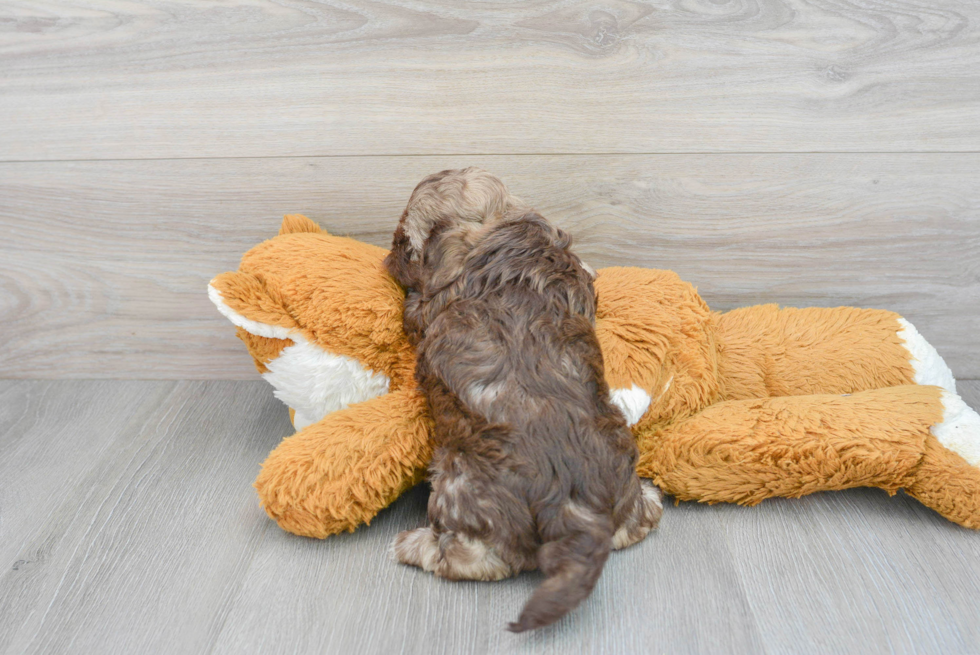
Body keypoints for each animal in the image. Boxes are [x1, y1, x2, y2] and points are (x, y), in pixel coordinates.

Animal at [386, 172, 664, 632]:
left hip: (459, 488)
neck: (506, 230)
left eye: (406, 242)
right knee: (637, 524)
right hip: (621, 479)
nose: (387, 258)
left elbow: (417, 310)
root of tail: (572, 507)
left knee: (468, 558)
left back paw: (411, 544)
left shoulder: (432, 305)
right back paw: (651, 499)